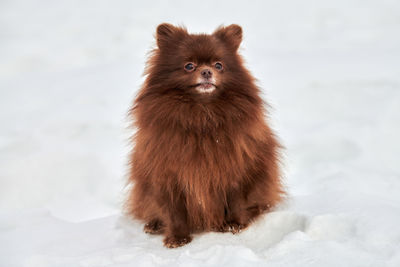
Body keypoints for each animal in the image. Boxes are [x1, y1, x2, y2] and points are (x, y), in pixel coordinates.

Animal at [126, 23, 284, 249]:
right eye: (189, 66)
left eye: (218, 65)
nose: (207, 71)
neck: (202, 114)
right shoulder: (167, 175)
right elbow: (173, 210)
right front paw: (178, 238)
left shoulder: (237, 169)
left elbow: (236, 199)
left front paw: (234, 224)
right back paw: (154, 224)